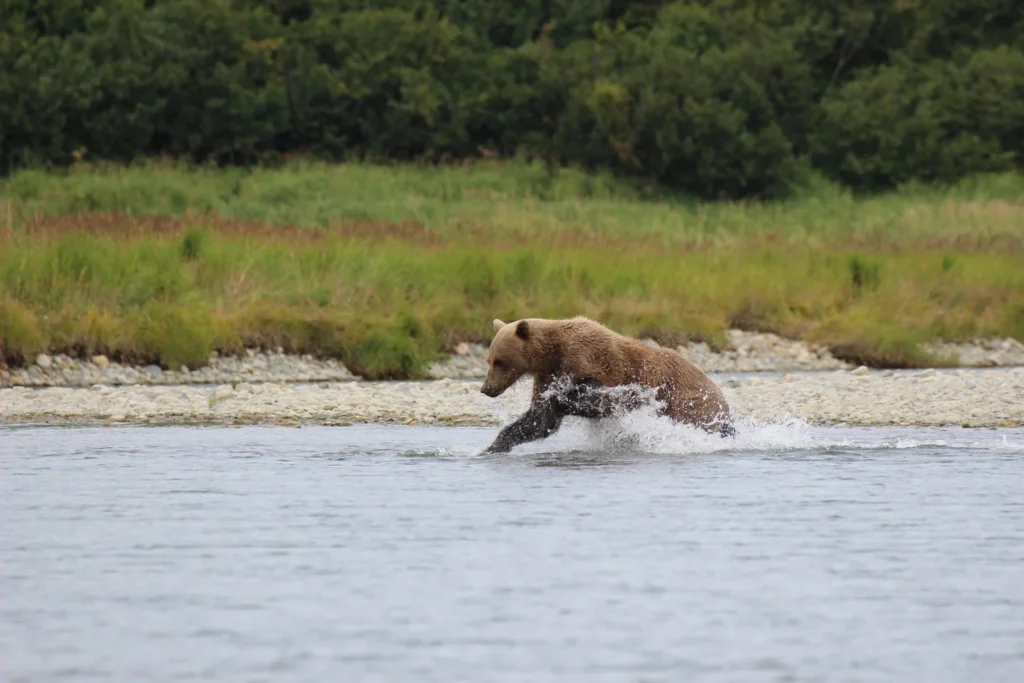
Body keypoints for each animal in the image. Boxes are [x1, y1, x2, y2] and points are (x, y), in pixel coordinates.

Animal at [479, 316, 735, 453]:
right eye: (488, 359)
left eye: (500, 361)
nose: (486, 389)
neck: (552, 355)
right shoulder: (548, 376)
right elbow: (540, 420)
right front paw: (491, 447)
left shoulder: (590, 363)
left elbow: (602, 399)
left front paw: (563, 399)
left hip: (690, 404)